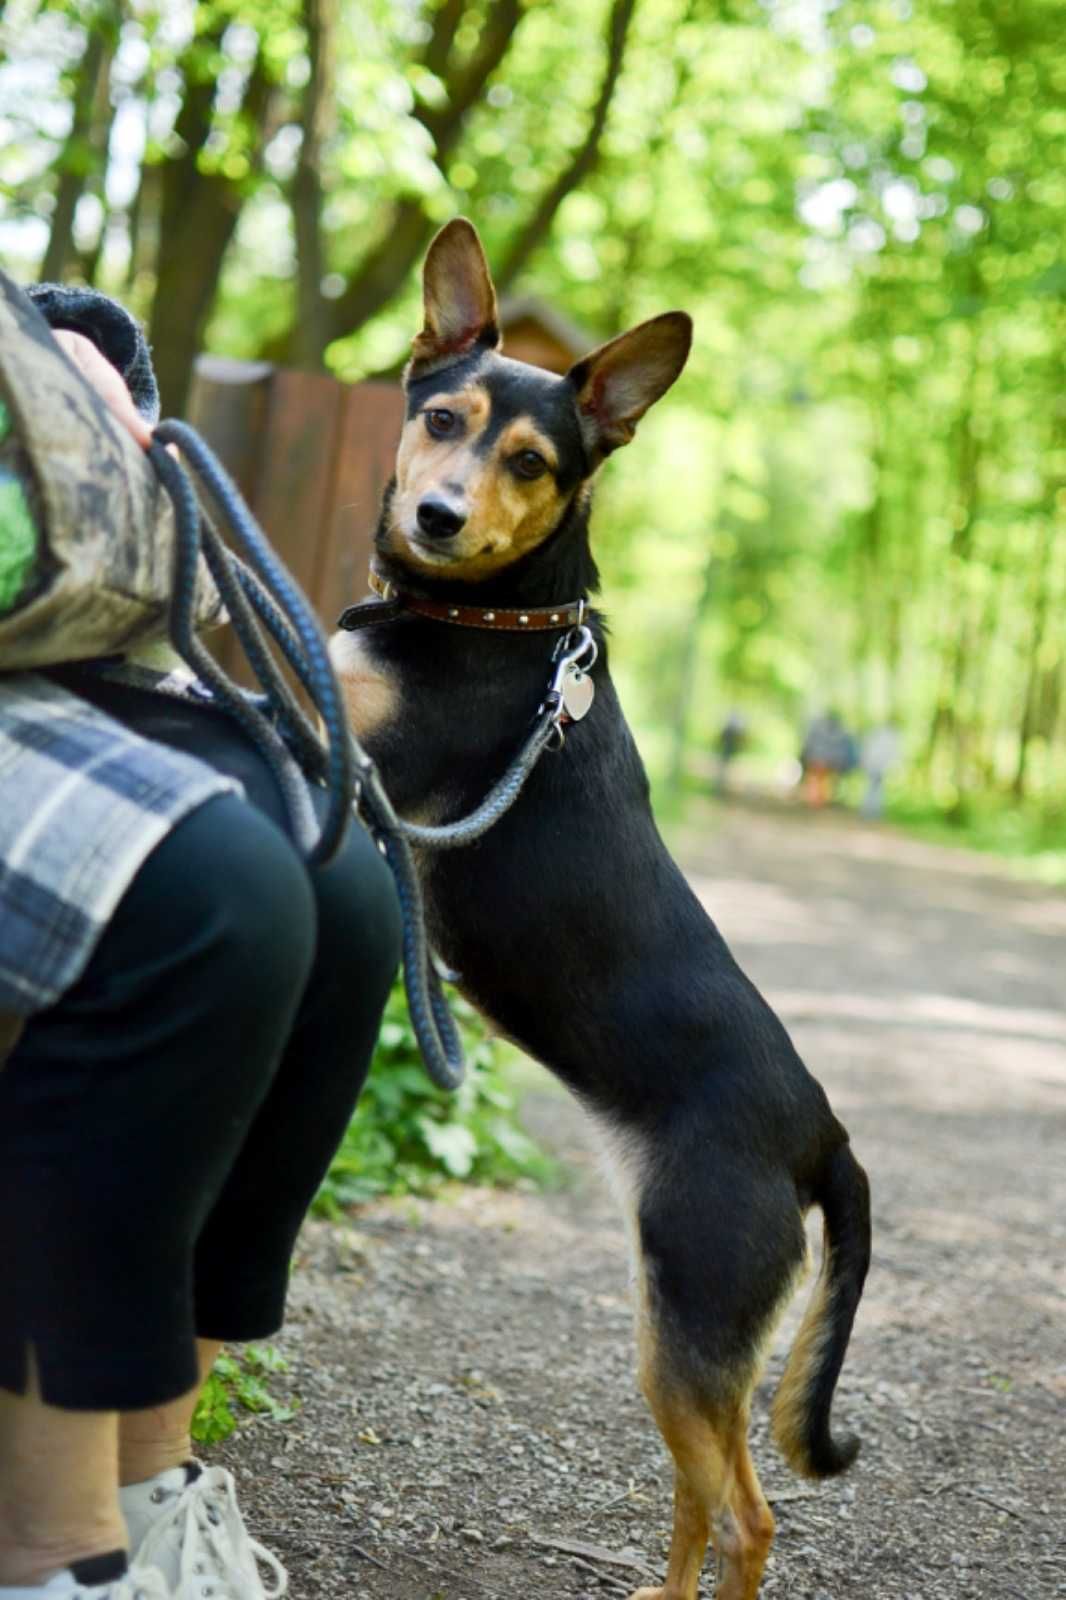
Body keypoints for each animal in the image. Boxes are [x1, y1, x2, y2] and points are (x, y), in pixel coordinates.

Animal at [328, 222, 870, 1600]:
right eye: (442, 418)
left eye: (532, 461)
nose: (438, 515)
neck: (509, 614)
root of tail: (824, 1134)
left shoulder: (359, 748)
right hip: (674, 1333)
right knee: (707, 1497)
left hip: (690, 1311)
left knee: (749, 1517)